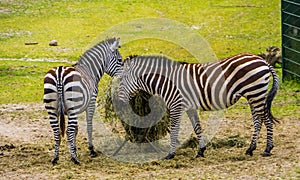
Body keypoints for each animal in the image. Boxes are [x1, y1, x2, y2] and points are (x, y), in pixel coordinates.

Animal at [43, 37, 122, 165]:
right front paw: (91, 149)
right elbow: (88, 125)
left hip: (52, 109)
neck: (90, 70)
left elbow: (76, 129)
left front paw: (74, 149)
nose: (124, 76)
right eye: (119, 60)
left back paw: (56, 158)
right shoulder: (91, 103)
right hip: (72, 109)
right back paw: (75, 159)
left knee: (57, 132)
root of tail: (60, 73)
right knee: (68, 131)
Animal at [117, 53, 278, 159]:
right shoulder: (189, 107)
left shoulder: (176, 106)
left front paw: (170, 154)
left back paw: (267, 149)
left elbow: (174, 130)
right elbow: (197, 127)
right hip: (253, 95)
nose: (118, 102)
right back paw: (250, 149)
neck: (167, 82)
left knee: (267, 120)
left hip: (255, 93)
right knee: (258, 121)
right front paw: (201, 151)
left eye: (121, 80)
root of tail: (262, 60)